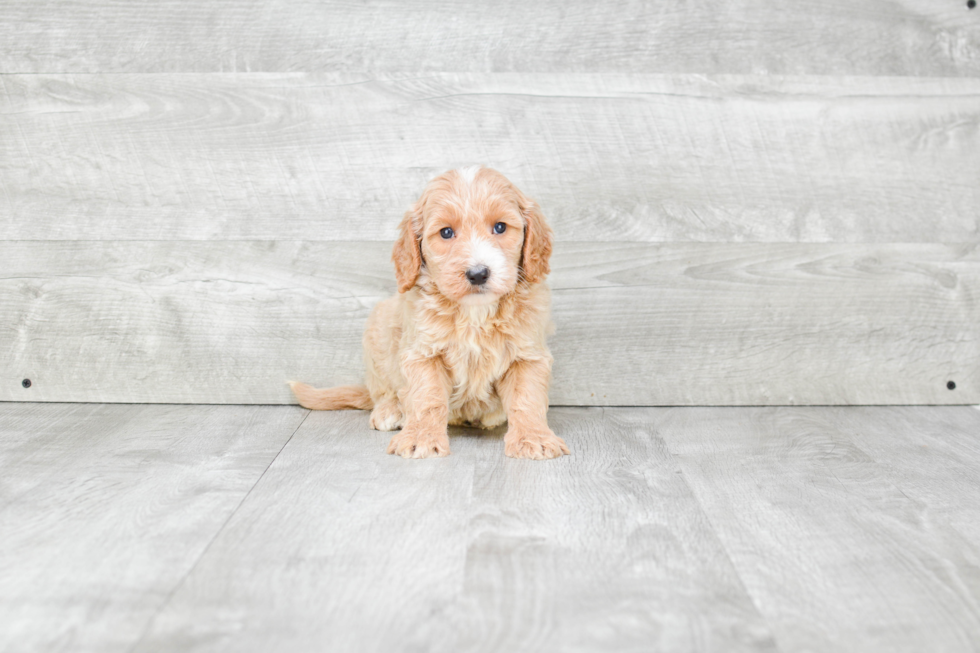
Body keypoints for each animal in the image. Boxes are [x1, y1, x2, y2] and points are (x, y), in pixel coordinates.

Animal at [288, 166, 572, 460]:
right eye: (446, 232)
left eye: (500, 227)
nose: (478, 273)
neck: (475, 313)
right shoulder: (423, 352)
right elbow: (427, 397)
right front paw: (421, 437)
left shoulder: (527, 354)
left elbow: (526, 398)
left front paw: (533, 438)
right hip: (378, 330)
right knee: (382, 390)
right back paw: (389, 411)